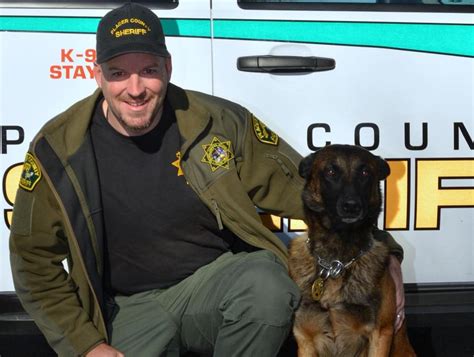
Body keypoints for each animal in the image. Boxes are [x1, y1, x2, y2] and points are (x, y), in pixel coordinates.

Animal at [286, 145, 414, 356]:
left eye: (365, 173)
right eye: (330, 172)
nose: (351, 206)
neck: (336, 262)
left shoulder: (381, 333)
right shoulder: (305, 339)